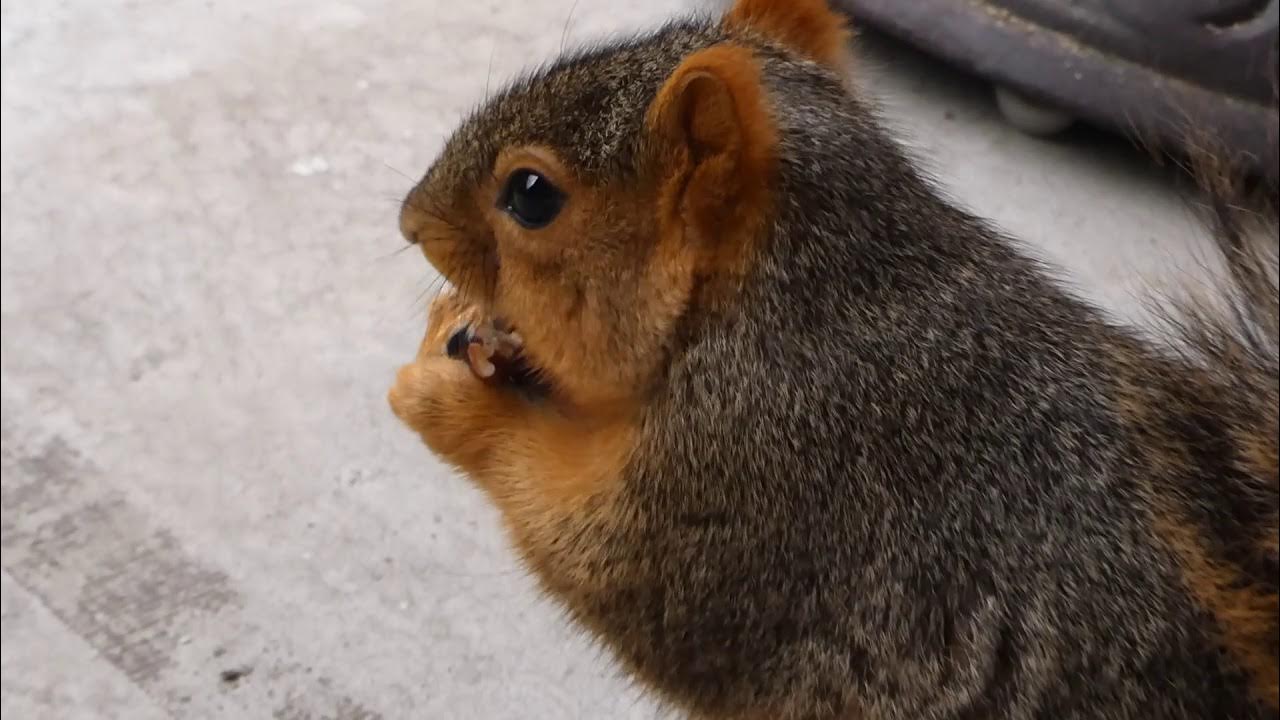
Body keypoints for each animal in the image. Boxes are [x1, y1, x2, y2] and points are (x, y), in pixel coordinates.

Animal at [388, 0, 1279, 717]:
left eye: (531, 195)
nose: (409, 221)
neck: (802, 300)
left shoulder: (756, 482)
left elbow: (589, 546)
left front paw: (447, 398)